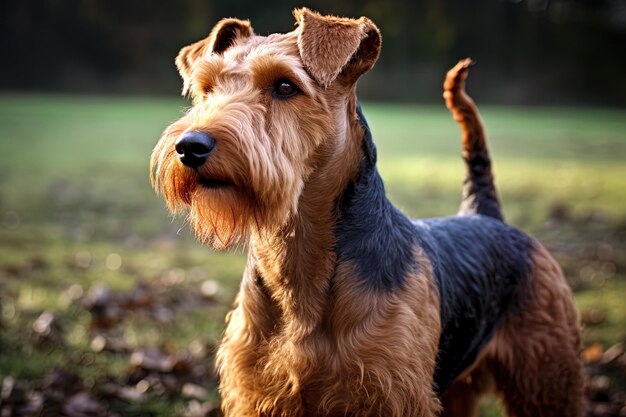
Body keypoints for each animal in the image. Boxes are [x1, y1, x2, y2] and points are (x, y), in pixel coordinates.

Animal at [149, 7, 584, 416]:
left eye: (285, 86)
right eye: (206, 88)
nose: (190, 146)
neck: (299, 257)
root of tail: (484, 213)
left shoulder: (390, 393)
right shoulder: (257, 393)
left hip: (545, 374)